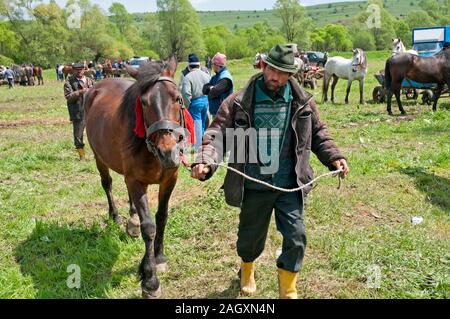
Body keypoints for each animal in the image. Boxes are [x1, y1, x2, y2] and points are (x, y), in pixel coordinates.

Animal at [84, 56, 186, 298]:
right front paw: (150, 279)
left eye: (177, 98)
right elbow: (148, 226)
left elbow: (162, 217)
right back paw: (116, 216)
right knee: (108, 184)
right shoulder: (136, 182)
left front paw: (158, 257)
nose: (168, 151)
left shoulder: (170, 180)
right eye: (145, 103)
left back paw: (131, 220)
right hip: (99, 157)